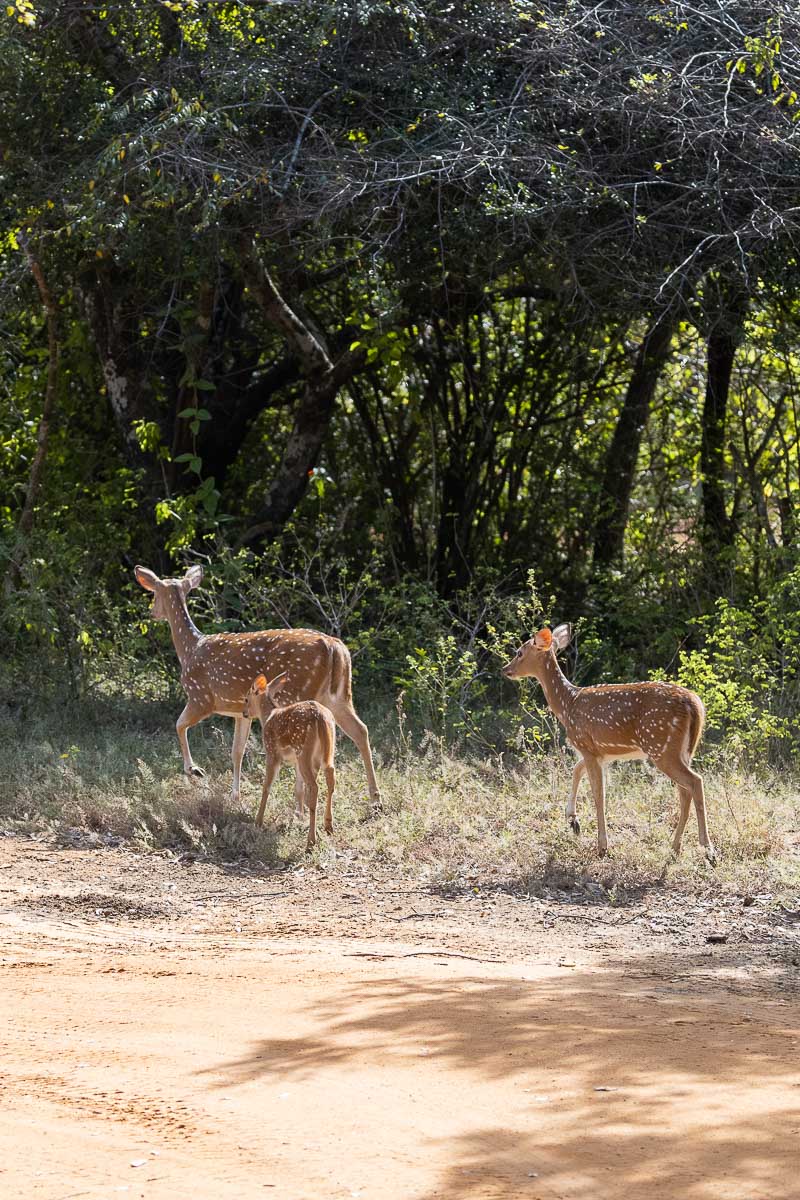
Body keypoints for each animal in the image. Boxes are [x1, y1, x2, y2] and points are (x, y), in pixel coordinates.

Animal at [133, 564, 380, 808]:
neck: (189, 649)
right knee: (361, 730)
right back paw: (375, 799)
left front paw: (194, 770)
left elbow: (179, 725)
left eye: (154, 593)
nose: (152, 613)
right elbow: (236, 751)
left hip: (297, 693)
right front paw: (235, 796)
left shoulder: (200, 697)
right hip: (339, 696)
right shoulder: (240, 711)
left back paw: (300, 803)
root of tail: (334, 647)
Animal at [243, 672, 336, 848]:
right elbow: (298, 789)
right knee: (330, 777)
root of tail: (320, 717)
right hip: (326, 750)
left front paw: (258, 821)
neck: (267, 716)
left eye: (245, 699)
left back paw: (311, 841)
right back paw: (328, 826)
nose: (244, 713)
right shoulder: (296, 762)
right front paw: (299, 817)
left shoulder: (272, 753)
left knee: (314, 787)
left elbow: (266, 786)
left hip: (303, 750)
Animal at [502, 624, 715, 862]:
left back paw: (708, 849)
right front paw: (573, 820)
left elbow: (598, 794)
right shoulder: (598, 751)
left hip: (661, 747)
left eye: (520, 652)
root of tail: (694, 704)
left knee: (695, 782)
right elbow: (576, 770)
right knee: (685, 791)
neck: (567, 704)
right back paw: (675, 847)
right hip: (682, 751)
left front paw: (602, 846)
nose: (505, 669)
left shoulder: (585, 744)